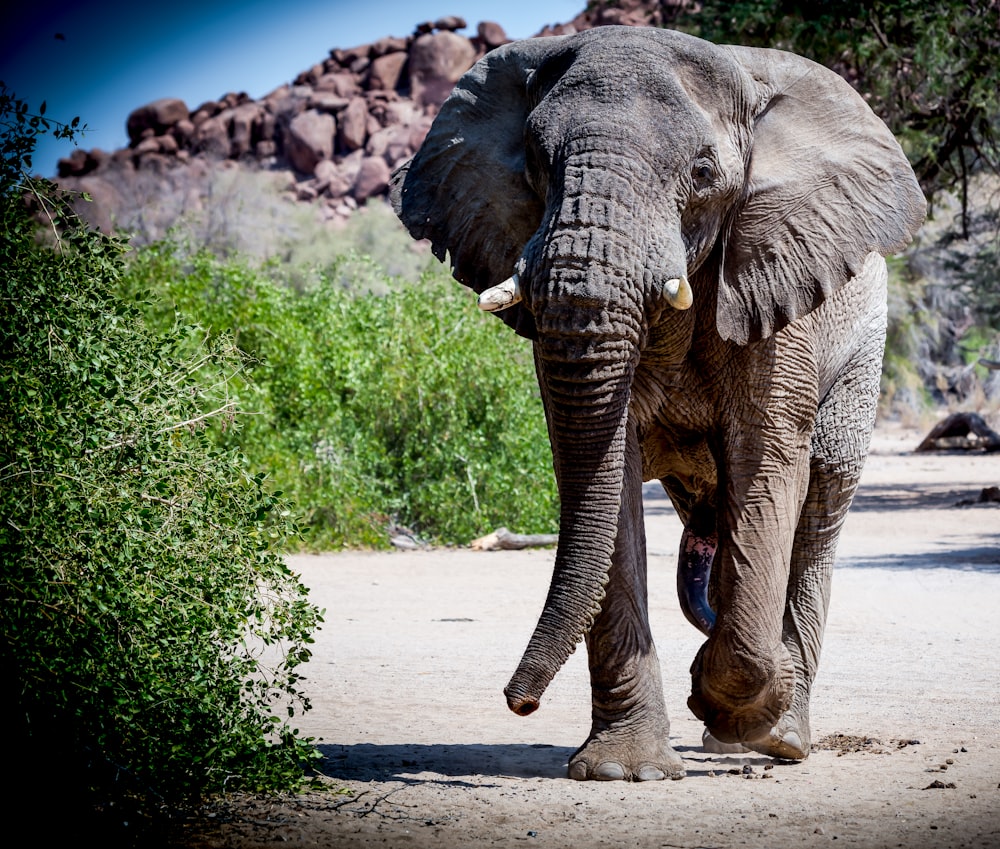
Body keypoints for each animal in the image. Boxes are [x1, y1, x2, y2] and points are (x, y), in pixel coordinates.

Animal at [386, 24, 924, 780]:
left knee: (819, 505)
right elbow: (602, 471)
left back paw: (779, 738)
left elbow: (766, 460)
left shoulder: (773, 273)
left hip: (861, 348)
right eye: (536, 165)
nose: (519, 701)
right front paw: (624, 769)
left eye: (702, 173)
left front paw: (733, 706)